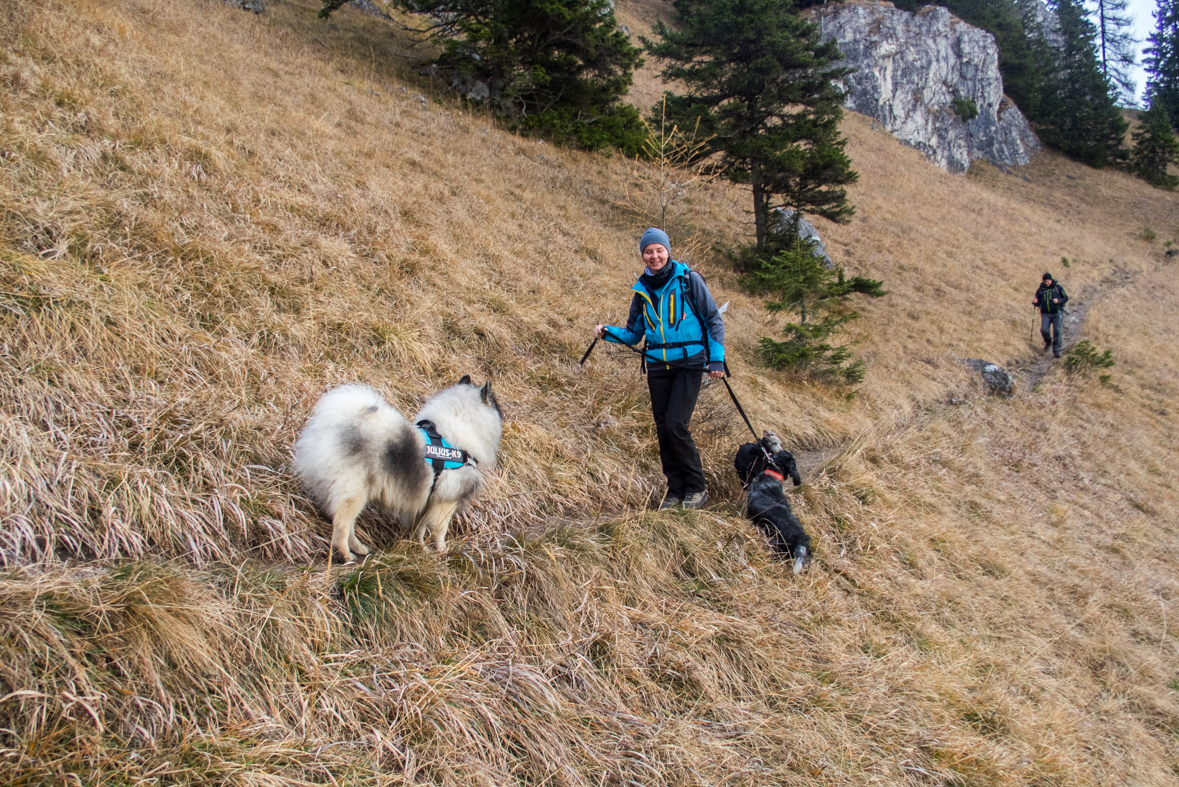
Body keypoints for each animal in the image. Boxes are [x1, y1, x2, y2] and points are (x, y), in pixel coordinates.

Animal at [294, 377, 502, 563]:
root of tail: (335, 426)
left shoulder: (425, 501)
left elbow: (419, 528)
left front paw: (421, 548)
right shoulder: (446, 501)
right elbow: (439, 530)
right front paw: (442, 550)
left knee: (349, 525)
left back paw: (359, 548)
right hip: (353, 493)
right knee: (341, 526)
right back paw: (346, 555)